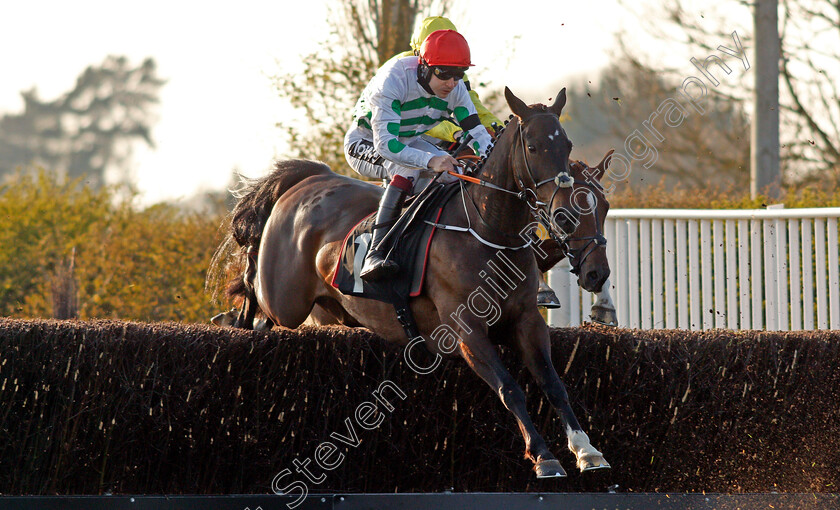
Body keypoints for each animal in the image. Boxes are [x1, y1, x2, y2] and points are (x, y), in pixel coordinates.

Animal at [215, 85, 612, 476]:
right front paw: (544, 456)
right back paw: (231, 316)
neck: (489, 231)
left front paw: (587, 449)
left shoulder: (527, 321)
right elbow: (510, 388)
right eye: (532, 146)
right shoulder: (466, 330)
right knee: (255, 289)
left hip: (332, 309)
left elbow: (553, 384)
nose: (597, 272)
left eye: (567, 145)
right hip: (285, 300)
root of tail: (307, 179)